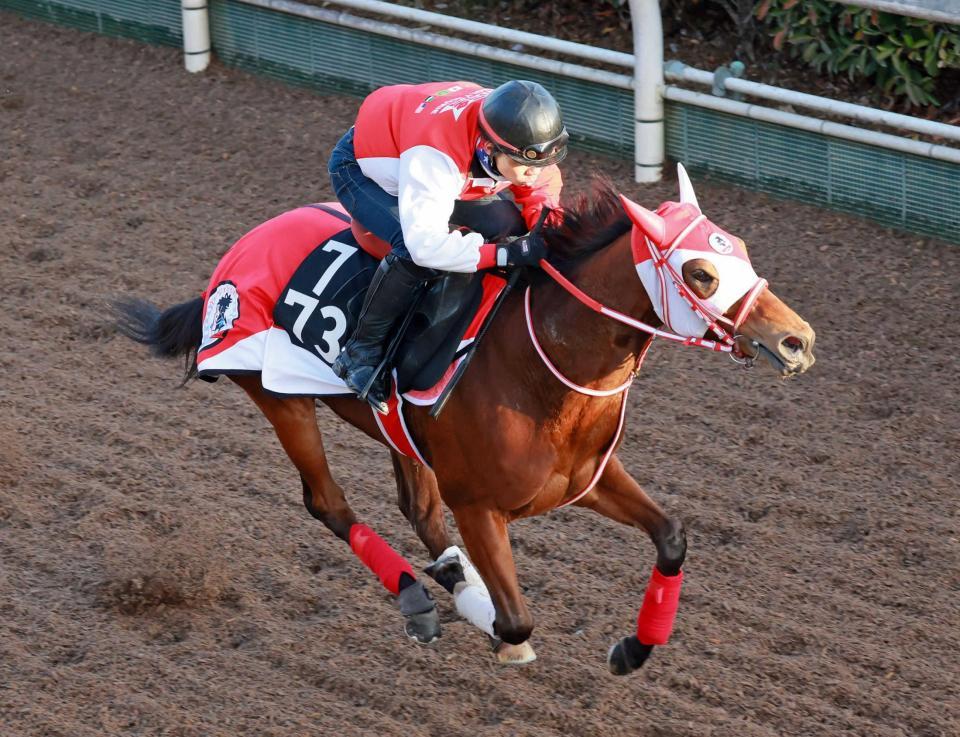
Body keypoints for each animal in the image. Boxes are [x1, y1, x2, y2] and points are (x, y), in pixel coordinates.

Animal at [114, 165, 816, 672]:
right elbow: (516, 619)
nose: (797, 340)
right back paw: (421, 597)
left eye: (742, 250)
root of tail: (229, 268)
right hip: (279, 400)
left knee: (418, 509)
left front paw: (632, 648)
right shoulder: (479, 505)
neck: (540, 367)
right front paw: (494, 626)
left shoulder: (586, 477)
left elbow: (671, 535)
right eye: (701, 273)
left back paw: (448, 574)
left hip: (399, 432)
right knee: (328, 503)